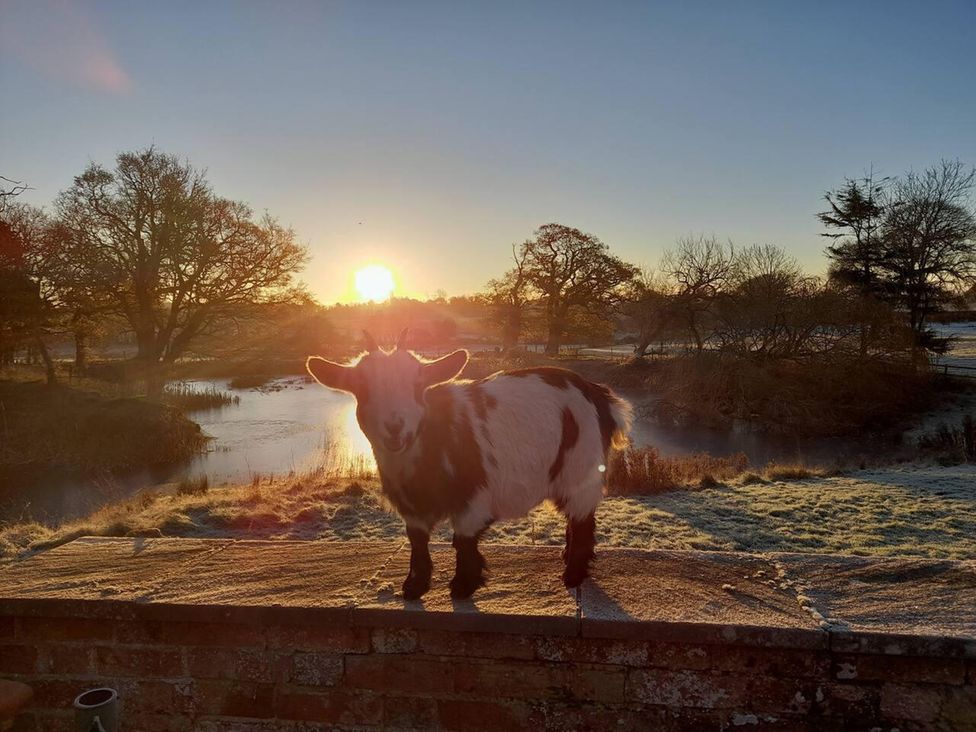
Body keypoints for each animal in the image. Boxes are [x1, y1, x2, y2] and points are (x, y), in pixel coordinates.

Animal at [306, 330, 633, 599]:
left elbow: (463, 540)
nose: (395, 428)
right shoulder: (412, 509)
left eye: (418, 385)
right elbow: (417, 541)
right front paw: (414, 587)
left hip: (581, 468)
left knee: (582, 520)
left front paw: (463, 586)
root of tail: (598, 394)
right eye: (361, 387)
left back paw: (573, 575)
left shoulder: (473, 500)